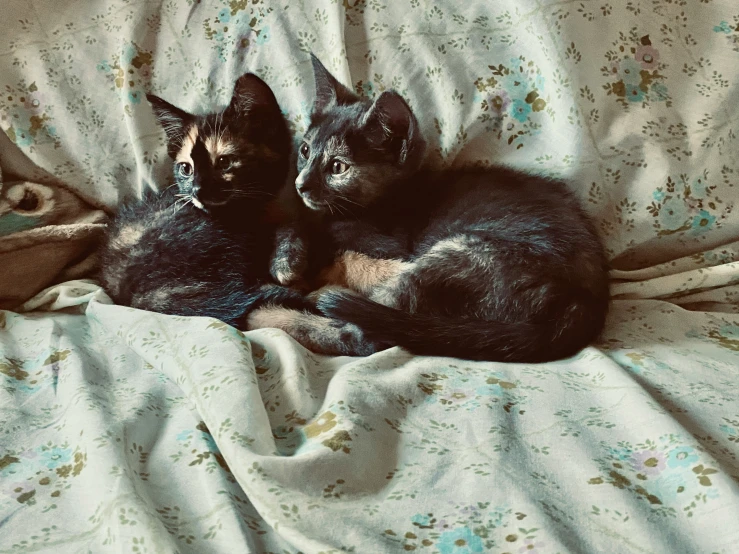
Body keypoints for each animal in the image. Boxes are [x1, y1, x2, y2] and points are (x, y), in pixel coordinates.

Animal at [99, 71, 308, 326]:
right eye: (186, 168)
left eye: (224, 162)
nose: (197, 191)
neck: (251, 209)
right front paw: (287, 262)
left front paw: (287, 258)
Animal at [249, 56, 608, 362]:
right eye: (305, 150)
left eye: (338, 167)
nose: (301, 185)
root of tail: (585, 304)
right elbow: (296, 222)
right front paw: (287, 257)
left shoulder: (387, 245)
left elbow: (330, 238)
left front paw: (292, 265)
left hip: (458, 253)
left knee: (365, 334)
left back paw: (269, 313)